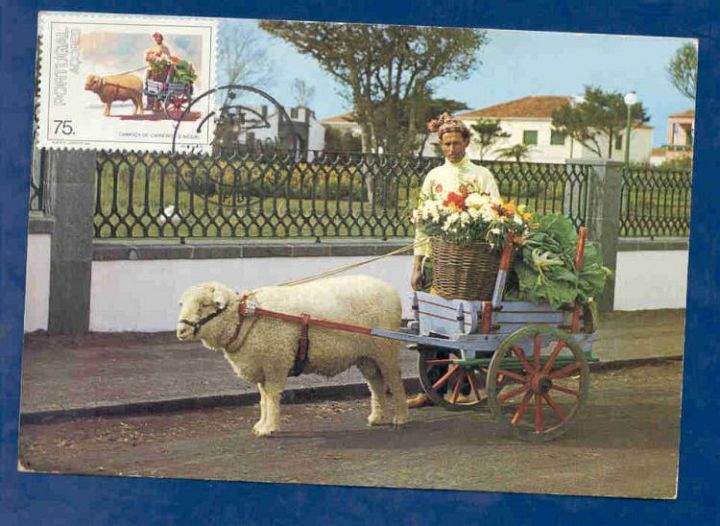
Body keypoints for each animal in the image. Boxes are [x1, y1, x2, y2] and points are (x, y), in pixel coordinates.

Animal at [176, 276, 408, 438]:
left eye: (204, 305)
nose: (181, 331)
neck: (244, 317)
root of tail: (391, 290)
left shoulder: (275, 363)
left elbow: (271, 397)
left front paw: (269, 428)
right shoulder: (262, 367)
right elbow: (263, 398)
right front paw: (261, 424)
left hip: (386, 348)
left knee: (395, 381)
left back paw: (401, 417)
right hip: (367, 356)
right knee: (376, 384)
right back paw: (376, 417)